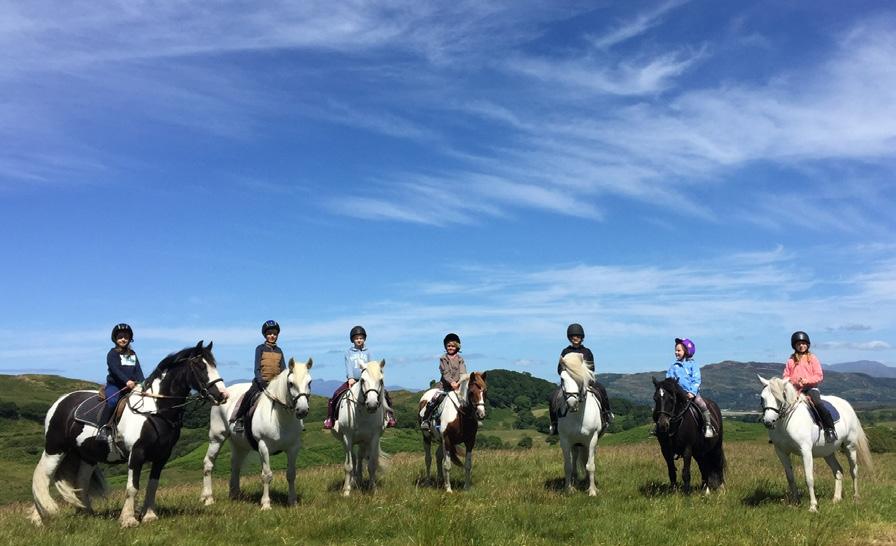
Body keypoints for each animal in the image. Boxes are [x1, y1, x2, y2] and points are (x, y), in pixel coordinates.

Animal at [30, 341, 227, 527]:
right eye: (200, 366)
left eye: (214, 364)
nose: (222, 395)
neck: (154, 411)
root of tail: (60, 402)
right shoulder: (137, 454)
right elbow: (132, 487)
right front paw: (128, 519)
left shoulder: (162, 456)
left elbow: (152, 486)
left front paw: (149, 516)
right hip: (55, 450)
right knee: (42, 478)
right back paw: (39, 519)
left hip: (87, 456)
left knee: (81, 483)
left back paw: (86, 514)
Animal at [201, 357, 312, 510]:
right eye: (291, 383)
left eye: (309, 382)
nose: (302, 410)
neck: (280, 418)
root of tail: (223, 394)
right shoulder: (263, 447)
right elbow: (266, 475)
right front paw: (265, 504)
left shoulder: (293, 448)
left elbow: (291, 474)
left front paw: (292, 501)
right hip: (217, 438)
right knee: (208, 463)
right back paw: (207, 498)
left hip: (239, 445)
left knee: (236, 465)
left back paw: (235, 495)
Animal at [330, 360, 389, 497]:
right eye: (362, 380)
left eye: (381, 380)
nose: (372, 405)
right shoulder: (347, 437)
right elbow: (348, 465)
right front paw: (346, 490)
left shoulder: (374, 438)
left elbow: (372, 464)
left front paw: (373, 489)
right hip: (346, 440)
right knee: (353, 457)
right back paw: (352, 482)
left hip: (363, 441)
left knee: (360, 456)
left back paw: (359, 480)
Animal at [556, 352, 603, 496]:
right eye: (562, 378)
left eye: (580, 378)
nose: (572, 403)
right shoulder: (565, 440)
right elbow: (568, 466)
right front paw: (568, 489)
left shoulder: (592, 439)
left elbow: (590, 465)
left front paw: (592, 491)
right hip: (576, 443)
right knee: (576, 460)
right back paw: (574, 482)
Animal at [758, 375, 872, 512]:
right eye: (762, 397)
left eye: (780, 397)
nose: (768, 422)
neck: (786, 422)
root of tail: (847, 405)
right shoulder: (781, 452)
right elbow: (790, 477)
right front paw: (795, 503)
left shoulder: (806, 451)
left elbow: (809, 478)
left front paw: (813, 506)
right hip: (827, 452)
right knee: (838, 470)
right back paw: (836, 499)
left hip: (850, 446)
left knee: (854, 470)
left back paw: (856, 498)